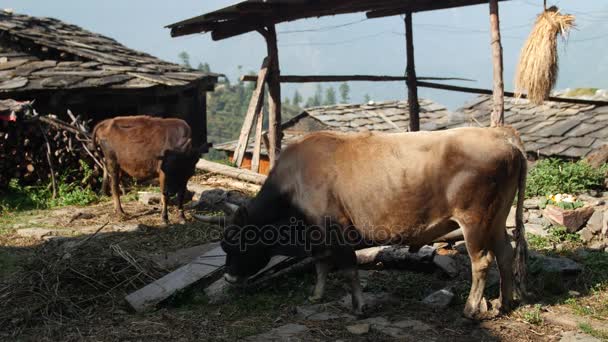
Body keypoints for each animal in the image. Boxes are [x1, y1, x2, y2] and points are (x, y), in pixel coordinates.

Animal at [204, 127, 528, 320]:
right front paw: (316, 295)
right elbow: (321, 265)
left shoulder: (336, 229)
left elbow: (348, 269)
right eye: (224, 243)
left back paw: (472, 308)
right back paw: (504, 302)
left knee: (482, 261)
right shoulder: (318, 235)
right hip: (496, 219)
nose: (229, 278)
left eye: (239, 242)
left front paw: (359, 307)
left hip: (475, 220)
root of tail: (502, 135)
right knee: (505, 254)